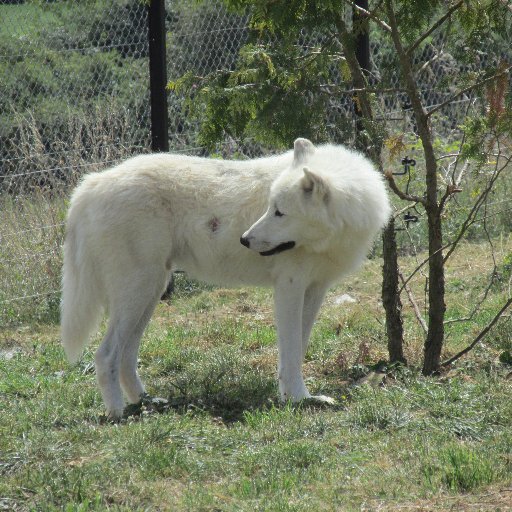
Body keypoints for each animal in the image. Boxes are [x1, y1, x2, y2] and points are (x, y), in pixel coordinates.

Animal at [62, 138, 390, 418]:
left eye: (279, 212)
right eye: (271, 208)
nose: (244, 239)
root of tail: (91, 183)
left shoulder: (315, 289)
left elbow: (298, 348)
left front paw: (293, 397)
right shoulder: (289, 287)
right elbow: (291, 350)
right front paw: (298, 399)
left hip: (150, 292)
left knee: (127, 356)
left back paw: (145, 403)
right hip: (138, 292)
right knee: (106, 355)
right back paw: (118, 414)